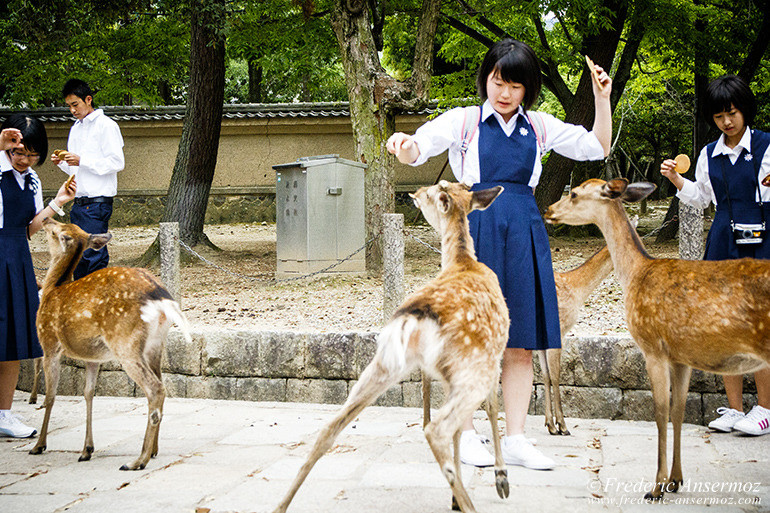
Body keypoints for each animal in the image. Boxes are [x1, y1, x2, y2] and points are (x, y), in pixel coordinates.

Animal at [30, 218, 192, 470]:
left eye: (57, 229)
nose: (46, 218)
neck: (51, 290)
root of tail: (162, 298)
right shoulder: (92, 357)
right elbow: (88, 393)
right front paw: (86, 450)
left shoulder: (50, 344)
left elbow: (51, 396)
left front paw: (39, 446)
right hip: (156, 346)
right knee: (161, 384)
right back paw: (153, 450)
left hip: (125, 343)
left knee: (155, 388)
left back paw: (138, 461)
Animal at [270, 181, 510, 512]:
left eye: (432, 192)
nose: (417, 191)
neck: (463, 261)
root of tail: (413, 317)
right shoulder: (495, 354)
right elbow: (492, 407)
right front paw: (500, 480)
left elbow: (462, 429)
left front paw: (455, 497)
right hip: (472, 366)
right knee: (436, 429)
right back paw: (471, 503)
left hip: (383, 362)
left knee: (330, 426)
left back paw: (279, 505)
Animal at [540, 178, 768, 498]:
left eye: (573, 194)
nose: (548, 210)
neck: (636, 273)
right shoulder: (679, 357)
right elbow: (675, 411)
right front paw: (672, 480)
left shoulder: (654, 348)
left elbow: (664, 412)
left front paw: (660, 484)